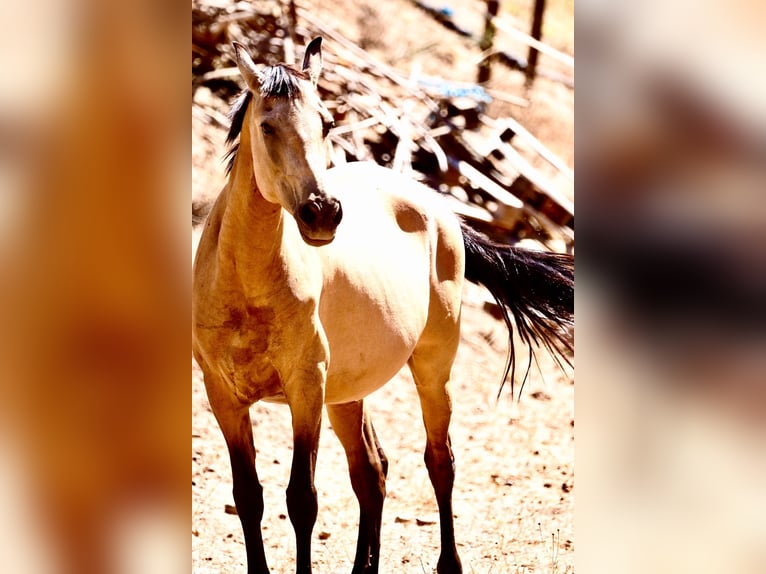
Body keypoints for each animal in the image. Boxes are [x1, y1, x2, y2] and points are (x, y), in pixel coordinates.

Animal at [192, 37, 573, 574]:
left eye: (327, 123)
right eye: (267, 126)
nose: (323, 212)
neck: (245, 287)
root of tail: (437, 205)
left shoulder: (305, 388)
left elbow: (301, 499)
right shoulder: (223, 395)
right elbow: (249, 496)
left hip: (431, 369)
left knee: (439, 460)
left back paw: (448, 563)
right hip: (346, 393)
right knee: (371, 471)